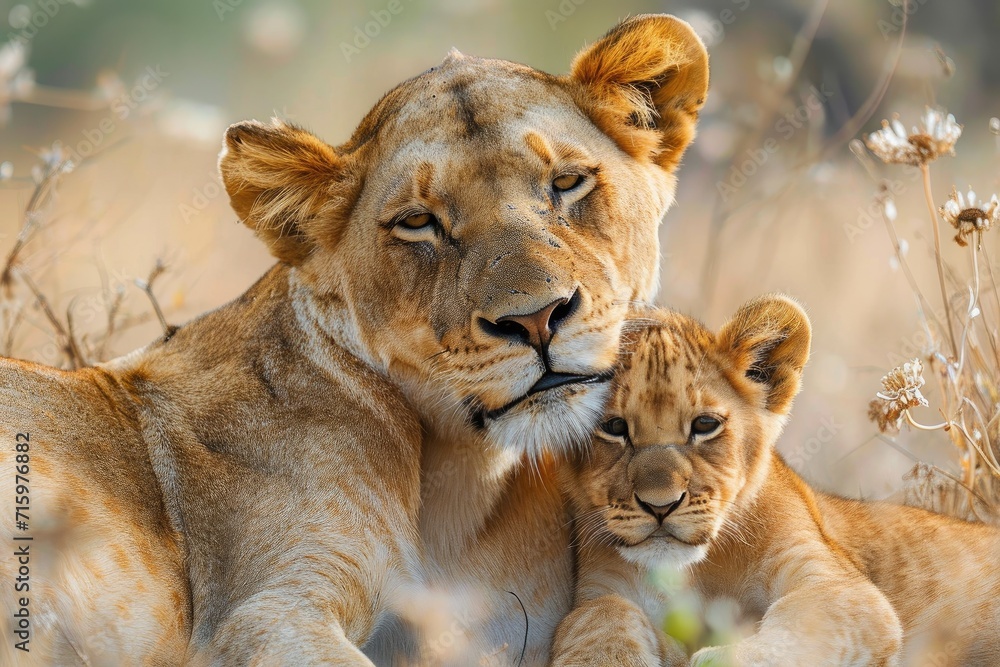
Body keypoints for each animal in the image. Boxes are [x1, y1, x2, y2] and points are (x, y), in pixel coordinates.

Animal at [0, 14, 709, 665]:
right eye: (418, 223)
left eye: (567, 183)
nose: (536, 319)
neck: (462, 485)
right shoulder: (260, 612)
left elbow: (611, 623)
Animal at [554, 296, 1000, 666]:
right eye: (613, 427)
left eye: (704, 425)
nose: (660, 505)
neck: (698, 569)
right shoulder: (603, 587)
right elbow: (596, 617)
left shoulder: (838, 585)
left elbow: (797, 627)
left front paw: (717, 656)